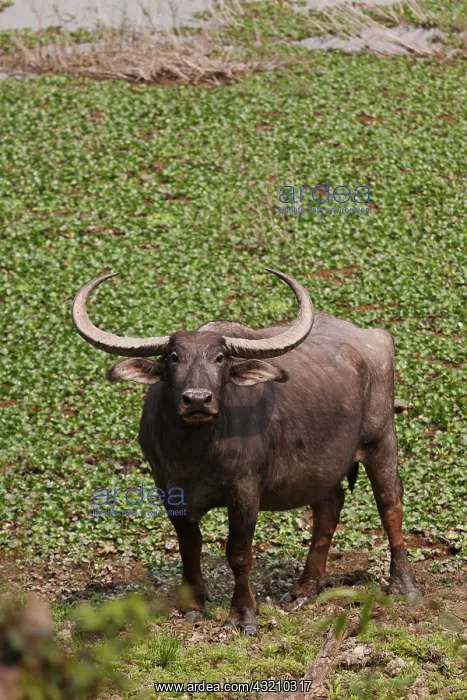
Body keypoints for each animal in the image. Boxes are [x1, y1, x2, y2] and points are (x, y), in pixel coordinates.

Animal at [72, 269, 422, 635]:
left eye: (220, 358)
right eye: (173, 358)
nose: (197, 400)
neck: (194, 453)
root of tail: (374, 337)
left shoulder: (245, 488)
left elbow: (238, 553)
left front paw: (243, 614)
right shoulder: (167, 487)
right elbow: (189, 546)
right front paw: (193, 604)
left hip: (381, 439)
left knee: (389, 504)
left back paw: (404, 587)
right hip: (323, 466)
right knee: (329, 505)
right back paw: (304, 589)